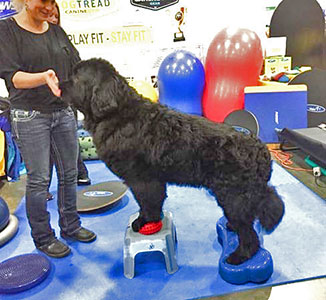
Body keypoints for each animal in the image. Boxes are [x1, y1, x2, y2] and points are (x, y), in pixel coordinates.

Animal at [59, 57, 284, 264]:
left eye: (76, 77)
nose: (58, 85)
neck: (117, 115)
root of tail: (262, 151)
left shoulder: (142, 180)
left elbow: (148, 204)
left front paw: (143, 222)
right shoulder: (151, 180)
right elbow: (150, 203)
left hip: (233, 196)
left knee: (249, 231)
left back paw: (240, 255)